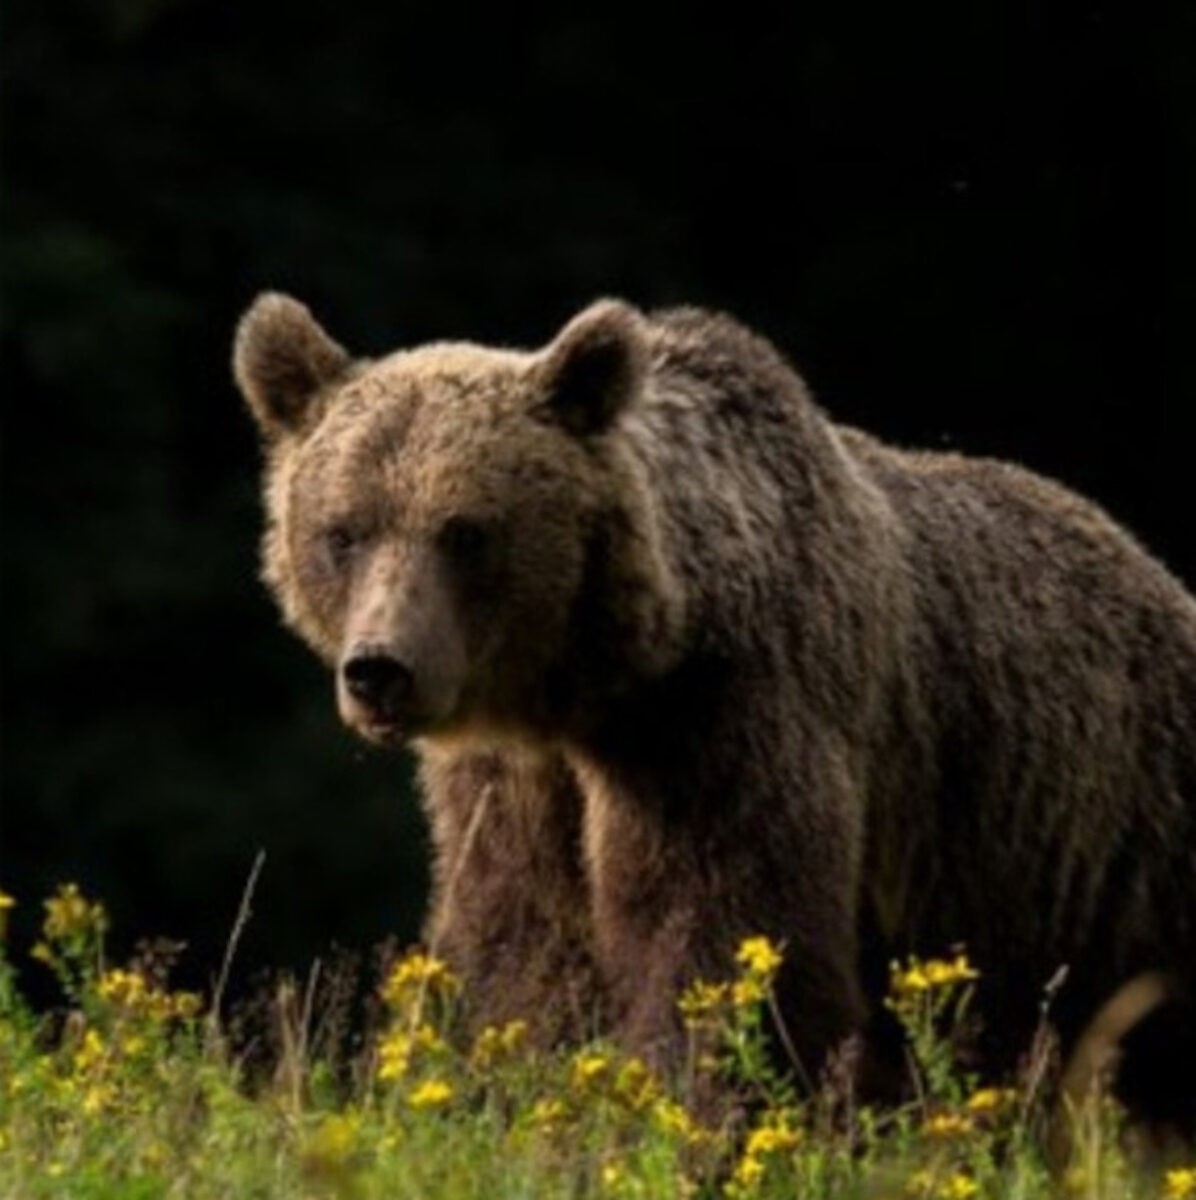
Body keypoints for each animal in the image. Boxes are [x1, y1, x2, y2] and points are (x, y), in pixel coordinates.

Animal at [233, 295, 1194, 1099]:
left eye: (466, 532)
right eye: (343, 531)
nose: (380, 669)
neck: (594, 689)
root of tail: (1162, 577)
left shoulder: (725, 724)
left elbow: (721, 938)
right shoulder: (514, 788)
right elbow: (533, 950)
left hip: (1105, 848)